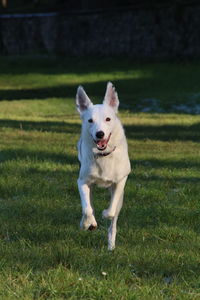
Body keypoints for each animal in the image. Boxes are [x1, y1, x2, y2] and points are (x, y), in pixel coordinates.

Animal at [76, 82, 130, 251]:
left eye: (108, 119)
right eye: (90, 120)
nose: (100, 134)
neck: (103, 155)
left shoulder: (121, 181)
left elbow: (111, 211)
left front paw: (105, 213)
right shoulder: (82, 181)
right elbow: (87, 208)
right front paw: (88, 223)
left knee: (114, 221)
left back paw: (111, 246)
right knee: (88, 204)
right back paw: (88, 223)